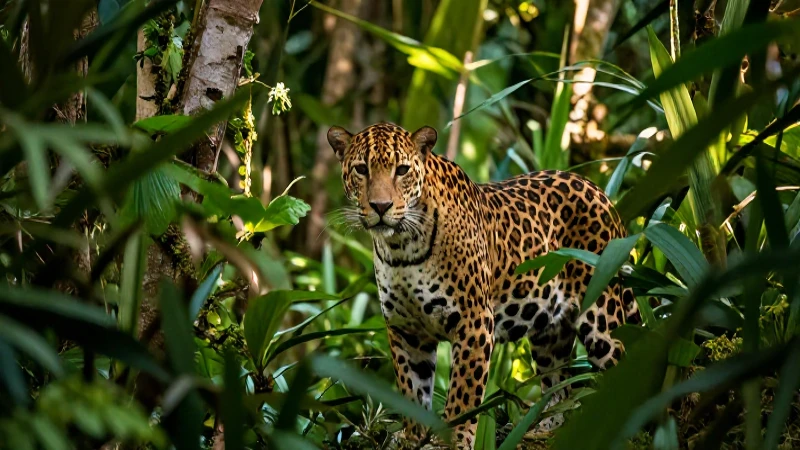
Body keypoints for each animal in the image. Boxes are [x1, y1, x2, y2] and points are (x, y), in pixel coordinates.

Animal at [327, 122, 640, 449]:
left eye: (401, 170)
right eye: (361, 169)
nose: (381, 206)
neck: (401, 247)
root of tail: (601, 193)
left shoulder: (474, 321)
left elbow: (463, 395)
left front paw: (456, 440)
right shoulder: (406, 330)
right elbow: (411, 391)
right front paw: (413, 438)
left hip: (601, 318)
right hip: (549, 333)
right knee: (559, 387)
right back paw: (542, 428)